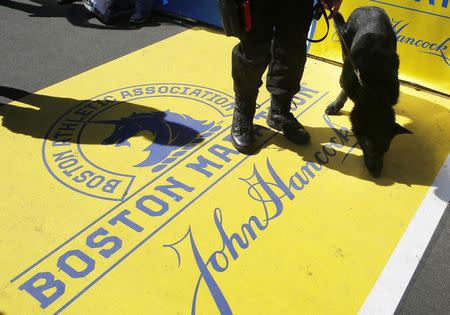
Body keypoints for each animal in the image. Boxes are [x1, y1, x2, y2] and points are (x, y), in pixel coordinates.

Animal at [326, 6, 412, 178]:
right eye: (370, 150)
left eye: (386, 150)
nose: (378, 175)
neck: (375, 93)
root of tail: (368, 7)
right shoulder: (350, 75)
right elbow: (344, 90)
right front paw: (336, 104)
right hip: (345, 42)